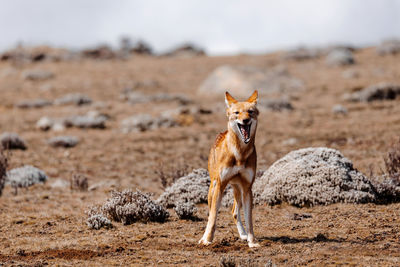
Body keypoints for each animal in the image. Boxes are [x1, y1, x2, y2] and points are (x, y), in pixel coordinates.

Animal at [199, 90, 260, 249]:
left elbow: (249, 220)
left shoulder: (247, 188)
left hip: (238, 191)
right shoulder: (220, 185)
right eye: (237, 113)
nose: (245, 120)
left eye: (250, 112)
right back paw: (204, 237)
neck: (239, 154)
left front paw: (252, 241)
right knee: (210, 214)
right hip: (213, 189)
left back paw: (243, 235)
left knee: (234, 212)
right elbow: (213, 217)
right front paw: (207, 240)